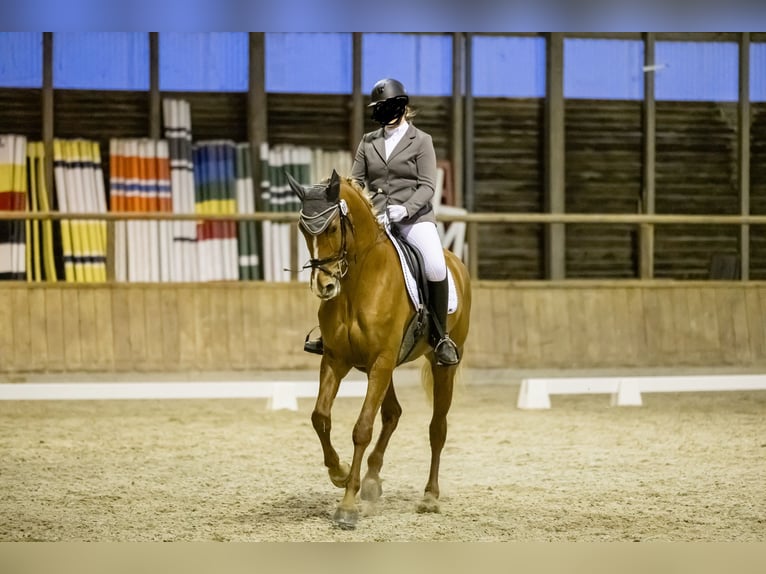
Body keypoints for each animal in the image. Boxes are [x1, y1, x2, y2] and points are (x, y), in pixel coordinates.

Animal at [284, 170, 472, 532]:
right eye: (302, 228)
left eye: (332, 227)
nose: (324, 286)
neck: (357, 282)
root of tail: (455, 259)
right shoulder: (337, 360)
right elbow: (320, 417)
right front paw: (341, 474)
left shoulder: (381, 362)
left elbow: (362, 429)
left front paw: (347, 506)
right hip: (385, 368)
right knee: (393, 414)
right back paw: (372, 481)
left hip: (438, 365)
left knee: (437, 428)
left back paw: (429, 497)